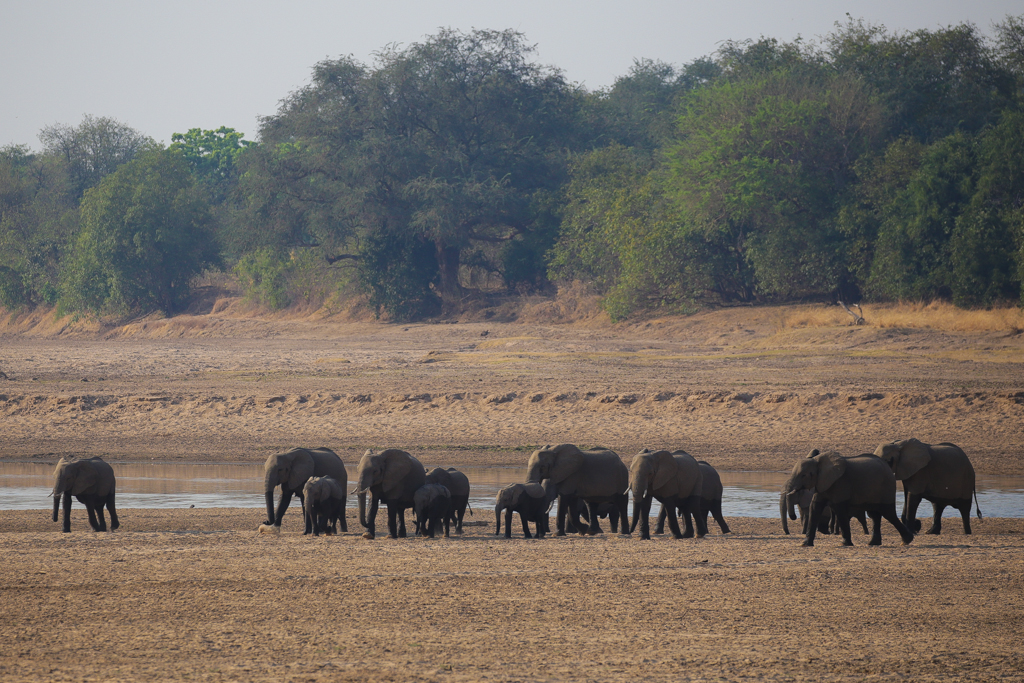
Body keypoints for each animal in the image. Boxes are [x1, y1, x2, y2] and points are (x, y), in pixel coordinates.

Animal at [778, 448, 917, 548]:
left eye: (804, 475)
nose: (794, 517)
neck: (817, 461)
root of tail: (889, 467)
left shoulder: (840, 482)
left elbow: (839, 509)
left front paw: (844, 544)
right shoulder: (822, 482)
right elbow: (815, 507)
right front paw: (805, 544)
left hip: (886, 486)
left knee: (888, 512)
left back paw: (907, 540)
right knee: (875, 514)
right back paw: (873, 543)